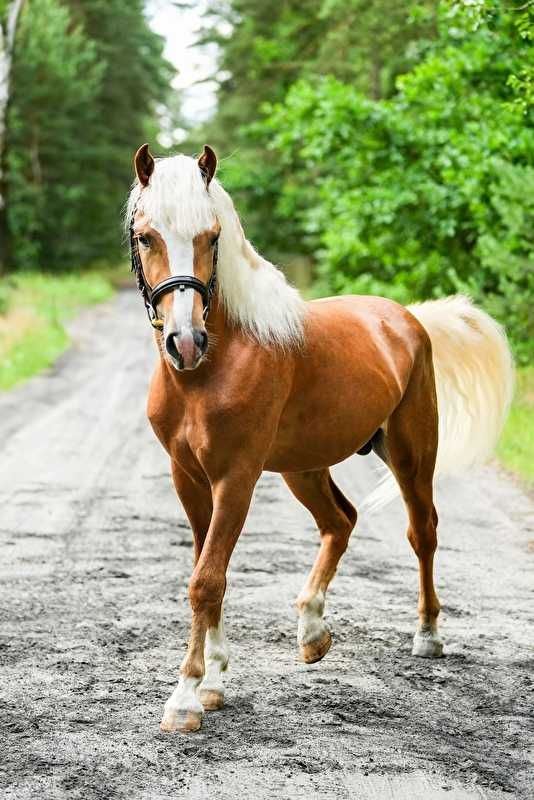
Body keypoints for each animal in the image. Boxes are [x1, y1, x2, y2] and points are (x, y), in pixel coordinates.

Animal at [125, 142, 516, 732]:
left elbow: (206, 580)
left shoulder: (236, 479)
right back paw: (312, 632)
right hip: (303, 468)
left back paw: (427, 636)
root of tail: (407, 318)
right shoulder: (187, 476)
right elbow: (208, 573)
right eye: (146, 235)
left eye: (211, 236)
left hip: (410, 454)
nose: (185, 342)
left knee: (422, 531)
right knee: (341, 521)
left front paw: (187, 697)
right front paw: (214, 682)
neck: (214, 367)